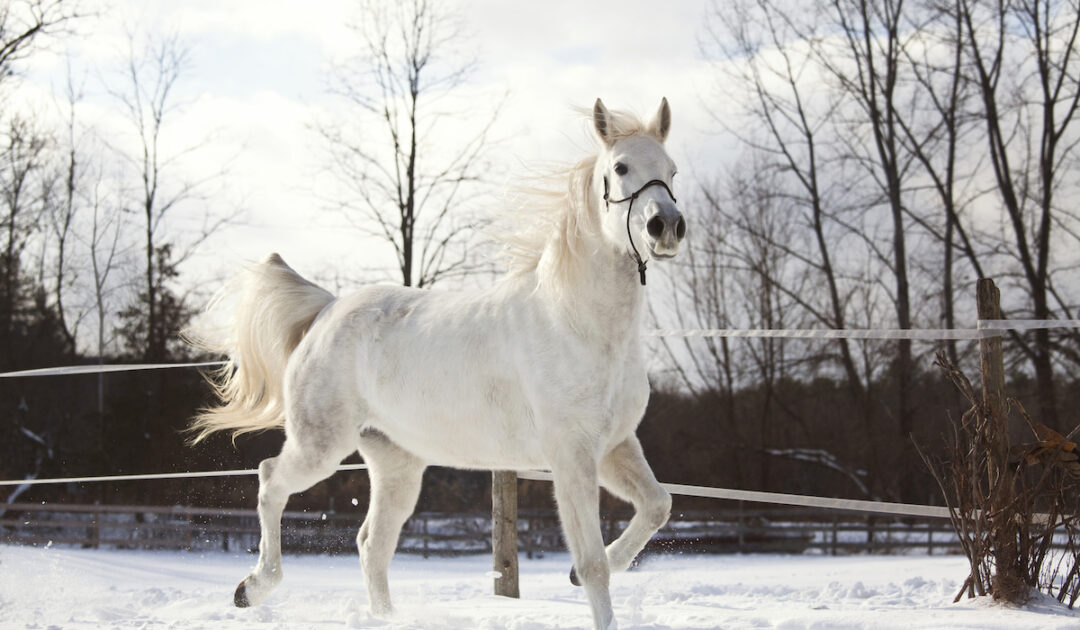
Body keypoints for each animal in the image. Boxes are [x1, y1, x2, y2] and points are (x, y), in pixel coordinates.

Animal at [188, 98, 687, 630]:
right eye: (621, 168)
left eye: (672, 170)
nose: (666, 227)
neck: (576, 323)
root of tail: (327, 310)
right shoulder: (570, 456)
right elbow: (593, 564)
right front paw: (584, 577)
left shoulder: (613, 446)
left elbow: (658, 504)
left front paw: (580, 572)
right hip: (320, 447)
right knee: (269, 481)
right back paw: (251, 588)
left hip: (397, 465)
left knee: (371, 544)